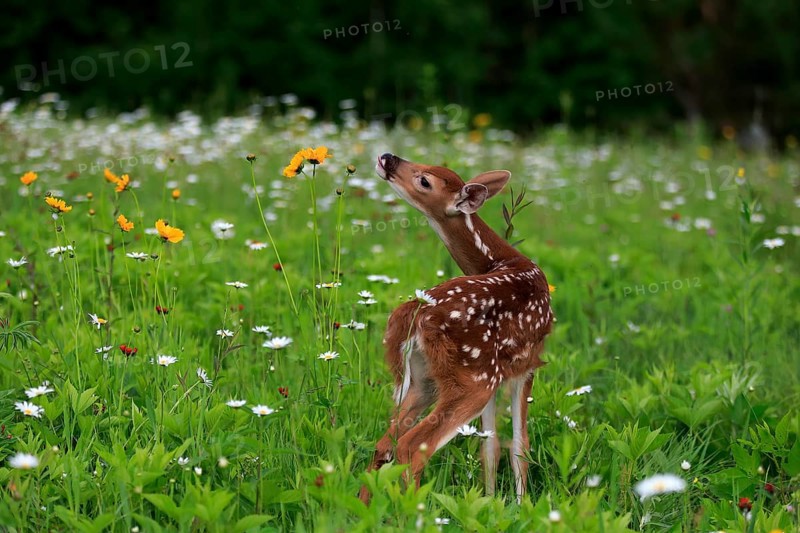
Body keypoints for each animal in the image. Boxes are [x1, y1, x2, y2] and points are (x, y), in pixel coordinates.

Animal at [359, 153, 554, 504]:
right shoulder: (526, 365)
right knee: (411, 447)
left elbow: (490, 446)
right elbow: (519, 446)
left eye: (426, 177)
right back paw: (413, 509)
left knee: (384, 444)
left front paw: (491, 503)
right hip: (471, 379)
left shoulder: (499, 370)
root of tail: (417, 312)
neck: (503, 259)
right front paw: (522, 507)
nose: (387, 157)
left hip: (425, 379)